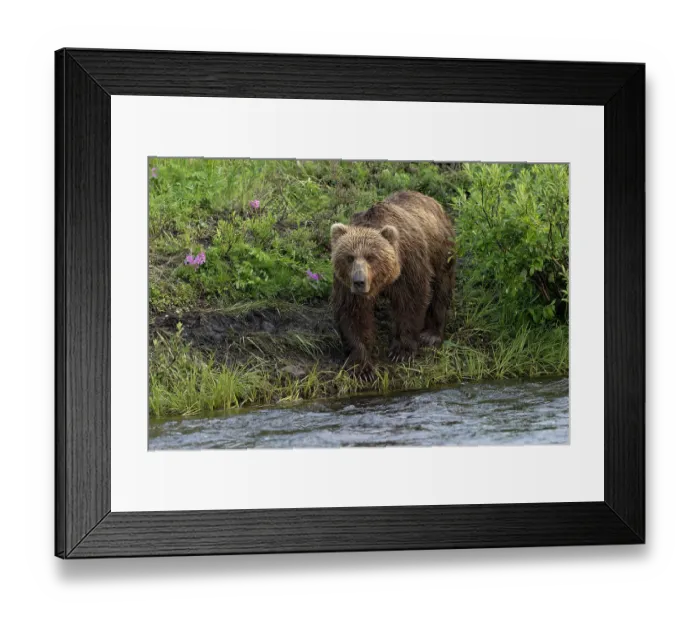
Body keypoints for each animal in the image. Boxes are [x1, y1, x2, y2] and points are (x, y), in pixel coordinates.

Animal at [330, 190, 456, 380]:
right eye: (349, 257)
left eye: (371, 257)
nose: (359, 281)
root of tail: (431, 199)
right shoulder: (346, 284)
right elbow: (353, 313)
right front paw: (362, 366)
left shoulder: (408, 265)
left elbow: (410, 302)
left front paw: (401, 351)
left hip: (440, 250)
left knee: (441, 287)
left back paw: (431, 335)